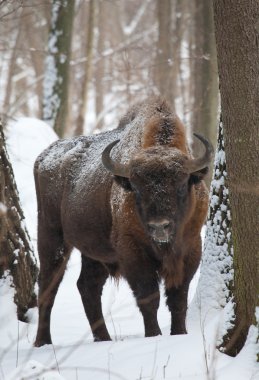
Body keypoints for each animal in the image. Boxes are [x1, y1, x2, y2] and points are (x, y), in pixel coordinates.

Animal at [34, 96, 213, 346]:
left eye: (180, 185)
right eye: (136, 188)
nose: (159, 226)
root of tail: (44, 157)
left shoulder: (190, 249)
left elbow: (178, 299)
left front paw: (179, 334)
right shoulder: (133, 253)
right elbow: (149, 298)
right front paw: (154, 335)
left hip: (94, 252)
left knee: (87, 286)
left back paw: (103, 338)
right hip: (52, 237)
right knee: (47, 286)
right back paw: (43, 342)